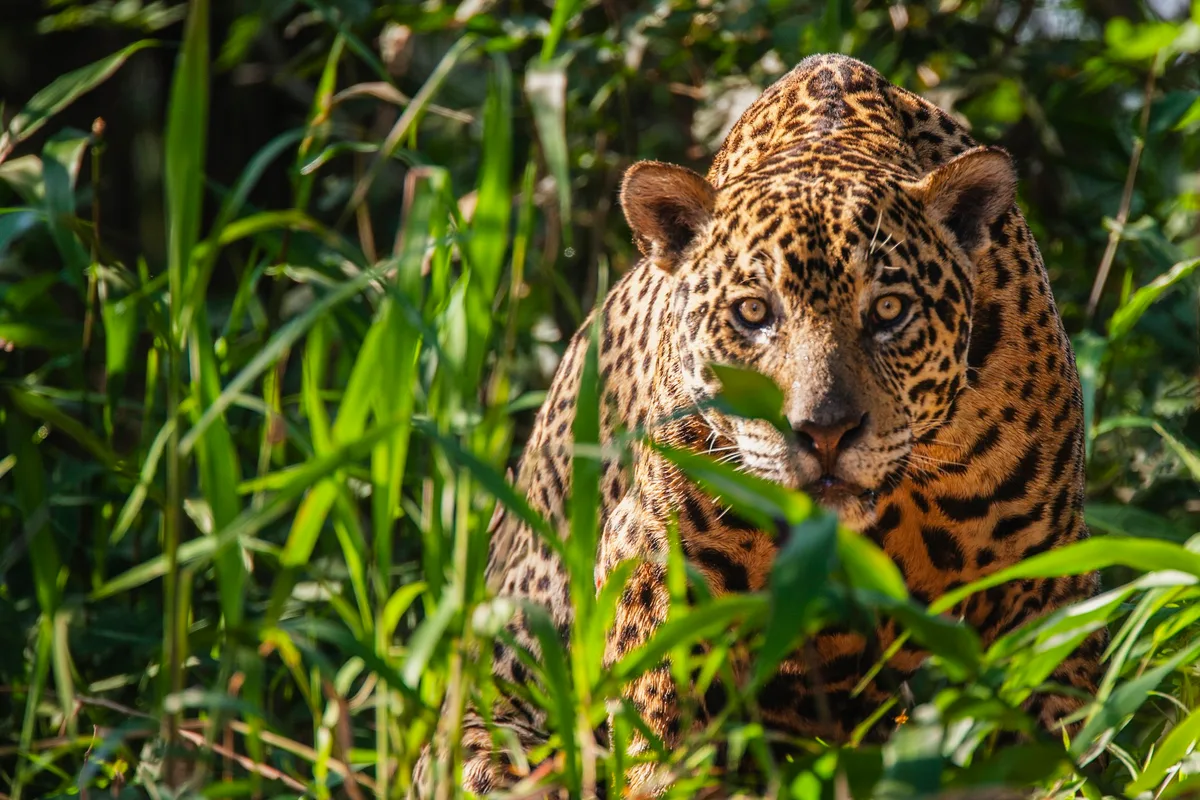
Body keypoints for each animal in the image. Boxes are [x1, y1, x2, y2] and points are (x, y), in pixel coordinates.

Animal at [412, 53, 1103, 797]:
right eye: (752, 312)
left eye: (889, 310)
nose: (825, 432)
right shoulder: (657, 561)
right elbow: (665, 731)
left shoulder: (1043, 573)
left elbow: (1050, 726)